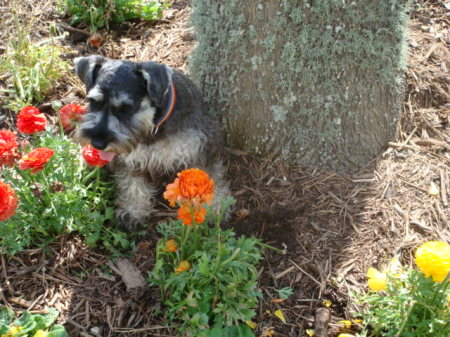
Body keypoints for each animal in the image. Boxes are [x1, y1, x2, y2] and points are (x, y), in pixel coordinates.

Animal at [74, 55, 229, 231]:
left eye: (126, 108)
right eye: (93, 102)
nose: (98, 143)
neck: (153, 129)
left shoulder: (202, 147)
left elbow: (210, 175)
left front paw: (216, 207)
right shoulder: (132, 160)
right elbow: (132, 185)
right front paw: (133, 211)